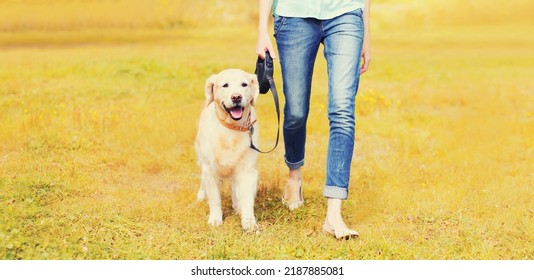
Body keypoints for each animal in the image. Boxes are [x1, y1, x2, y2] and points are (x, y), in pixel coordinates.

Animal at [197, 68, 262, 232]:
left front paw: (249, 222)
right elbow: (214, 198)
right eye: (225, 85)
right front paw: (215, 219)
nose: (236, 97)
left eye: (244, 84)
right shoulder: (210, 169)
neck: (231, 129)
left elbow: (247, 199)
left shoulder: (247, 170)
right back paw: (201, 195)